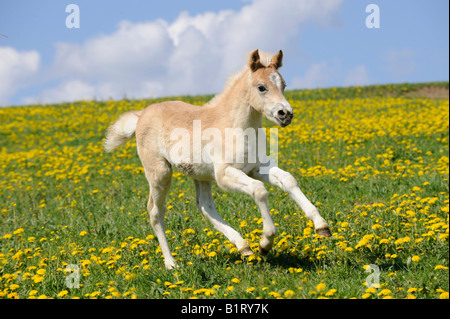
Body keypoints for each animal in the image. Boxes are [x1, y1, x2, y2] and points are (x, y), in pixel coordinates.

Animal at [104, 50, 330, 270]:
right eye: (261, 87)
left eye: (284, 85)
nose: (285, 114)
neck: (236, 126)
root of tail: (141, 115)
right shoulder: (225, 174)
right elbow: (259, 190)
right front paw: (265, 243)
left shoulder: (256, 167)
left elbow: (288, 180)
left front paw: (321, 226)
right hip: (160, 173)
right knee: (155, 211)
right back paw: (171, 263)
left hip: (201, 175)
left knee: (205, 206)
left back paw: (243, 247)